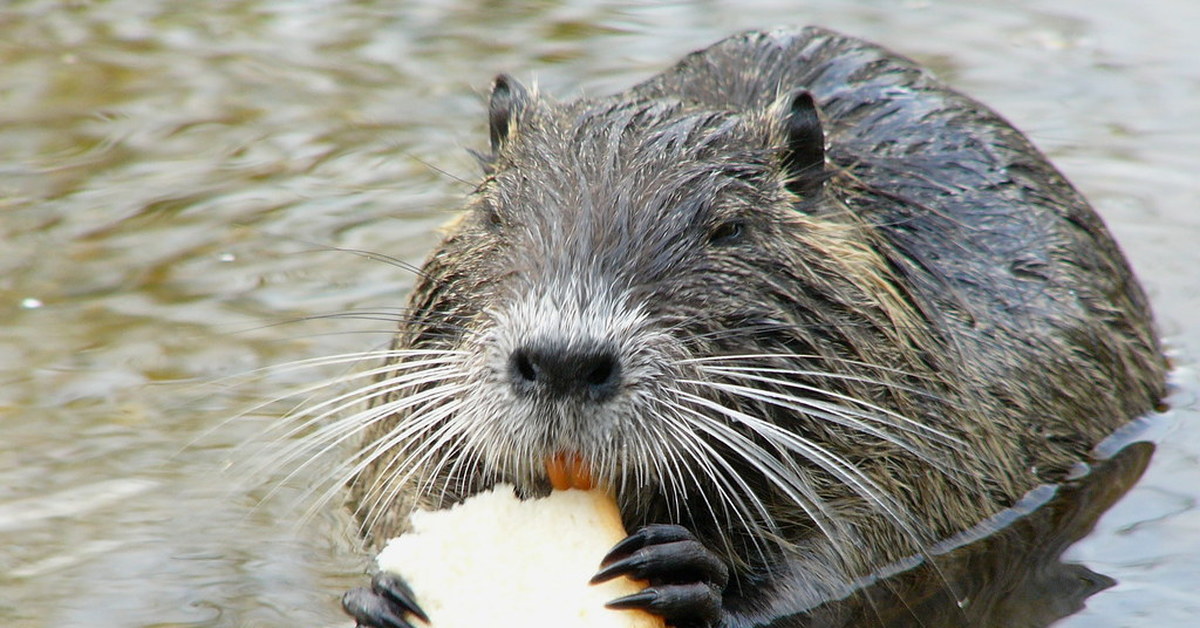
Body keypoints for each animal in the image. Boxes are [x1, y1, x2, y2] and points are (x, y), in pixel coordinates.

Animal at [336, 27, 1161, 624]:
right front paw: (383, 593)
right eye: (494, 213)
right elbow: (386, 483)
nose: (565, 361)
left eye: (728, 229)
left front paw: (687, 574)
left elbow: (860, 550)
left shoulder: (923, 422)